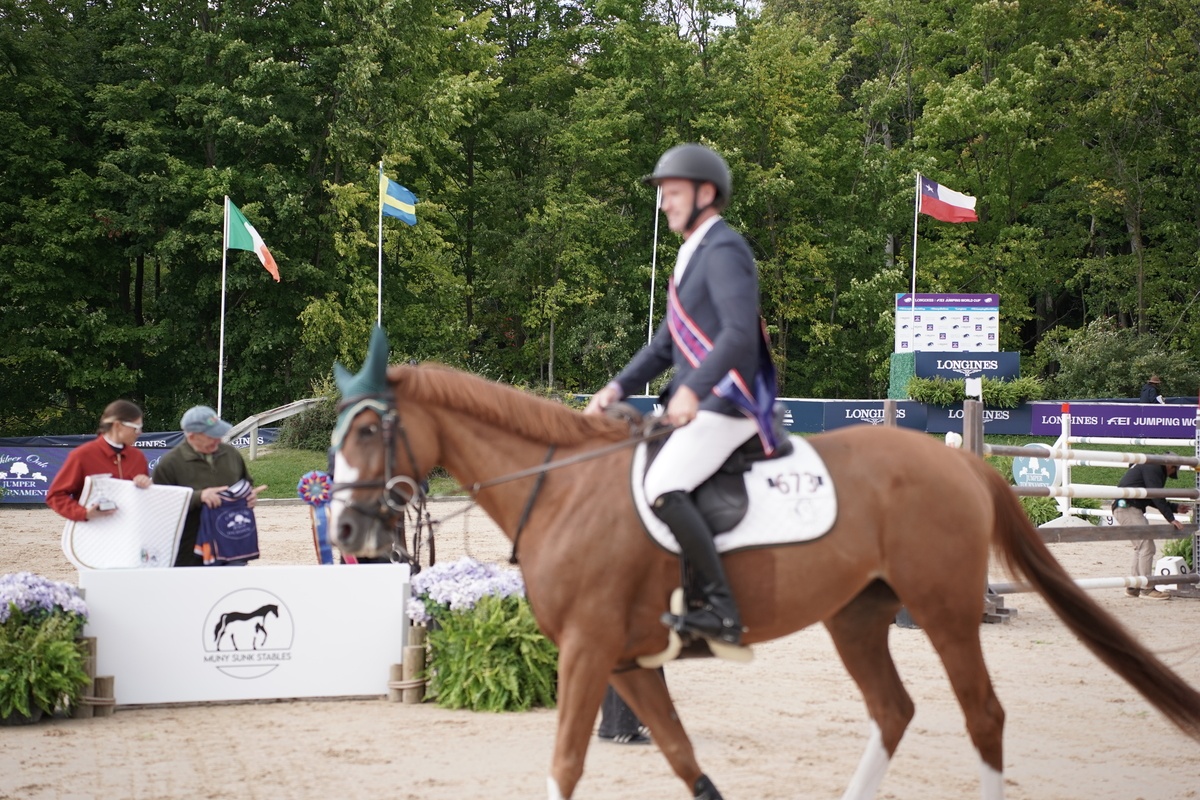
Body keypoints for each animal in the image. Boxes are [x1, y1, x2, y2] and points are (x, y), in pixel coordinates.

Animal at [331, 358, 1200, 800]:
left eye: (370, 429)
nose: (342, 531)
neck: (564, 486)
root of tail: (957, 461)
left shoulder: (585, 652)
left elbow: (566, 766)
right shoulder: (625, 662)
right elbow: (682, 759)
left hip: (944, 610)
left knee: (982, 714)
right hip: (857, 616)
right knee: (894, 710)